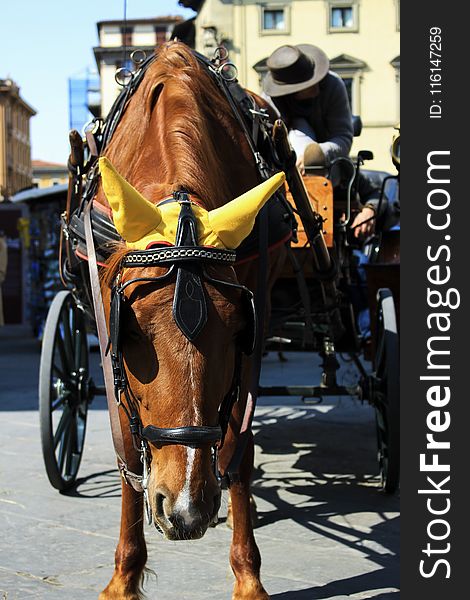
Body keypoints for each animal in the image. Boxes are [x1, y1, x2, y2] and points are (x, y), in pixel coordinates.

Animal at [94, 43, 286, 600]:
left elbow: (240, 443)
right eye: (130, 332)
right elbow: (126, 446)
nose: (184, 510)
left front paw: (248, 576)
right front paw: (124, 576)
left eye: (240, 330)